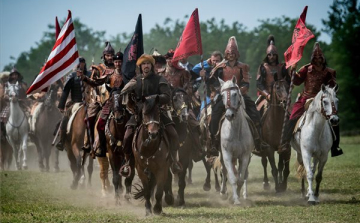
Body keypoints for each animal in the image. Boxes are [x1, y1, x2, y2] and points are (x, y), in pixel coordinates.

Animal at [217, 76, 253, 205]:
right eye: (222, 95)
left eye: (235, 94)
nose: (229, 115)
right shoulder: (227, 154)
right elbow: (232, 177)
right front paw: (236, 200)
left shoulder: (245, 155)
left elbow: (240, 179)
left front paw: (236, 196)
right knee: (224, 171)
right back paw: (223, 193)